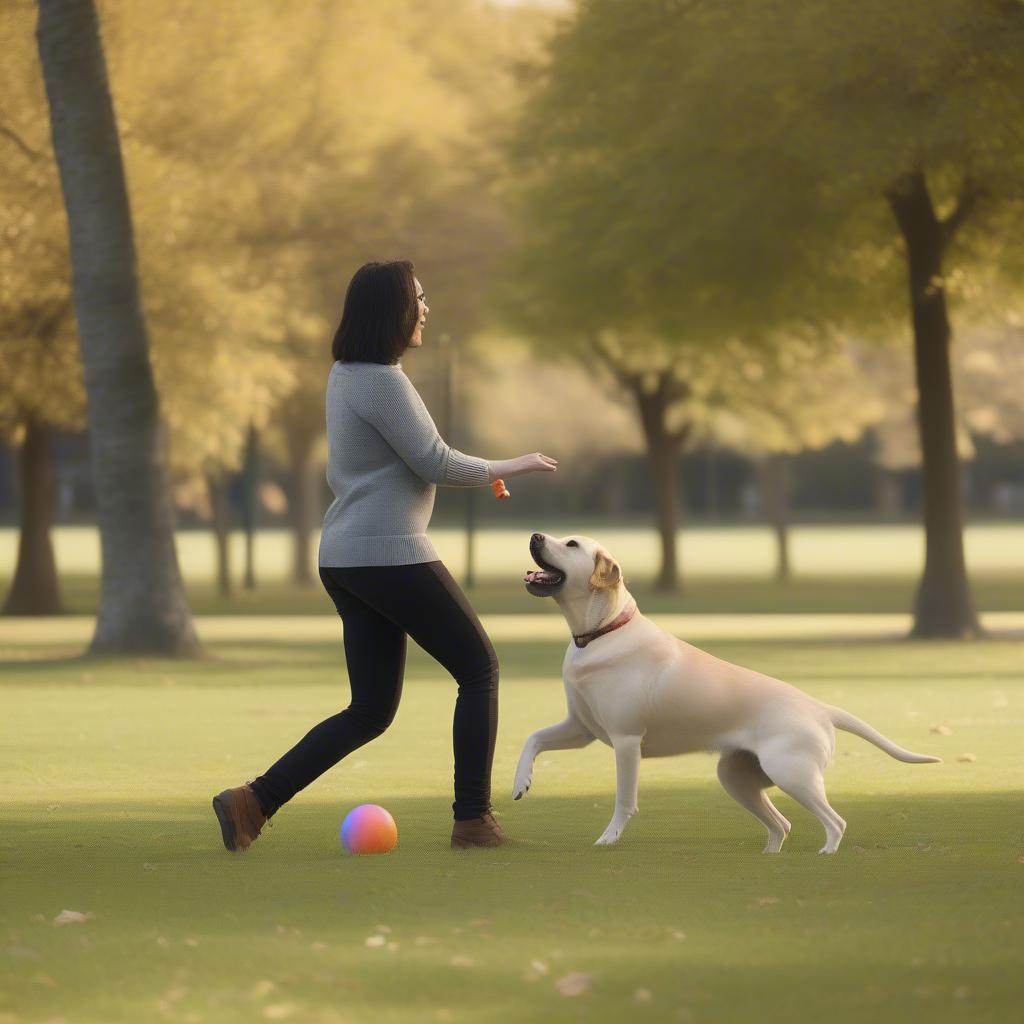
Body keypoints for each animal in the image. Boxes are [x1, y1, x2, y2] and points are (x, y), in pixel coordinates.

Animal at [516, 532, 937, 851]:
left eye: (571, 544)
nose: (536, 535)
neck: (603, 632)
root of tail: (819, 707)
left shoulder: (625, 740)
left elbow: (624, 798)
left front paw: (609, 838)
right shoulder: (581, 729)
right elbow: (532, 738)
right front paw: (521, 782)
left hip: (792, 774)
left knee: (836, 822)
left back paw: (826, 854)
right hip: (737, 779)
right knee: (781, 825)